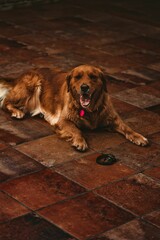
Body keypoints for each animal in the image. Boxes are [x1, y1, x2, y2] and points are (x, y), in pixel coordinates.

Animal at [0, 64, 148, 151]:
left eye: (93, 77)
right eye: (77, 77)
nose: (84, 87)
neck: (90, 110)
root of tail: (21, 75)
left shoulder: (113, 118)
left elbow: (127, 127)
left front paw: (138, 137)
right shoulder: (63, 120)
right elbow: (76, 130)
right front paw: (80, 142)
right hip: (31, 84)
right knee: (5, 101)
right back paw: (17, 112)